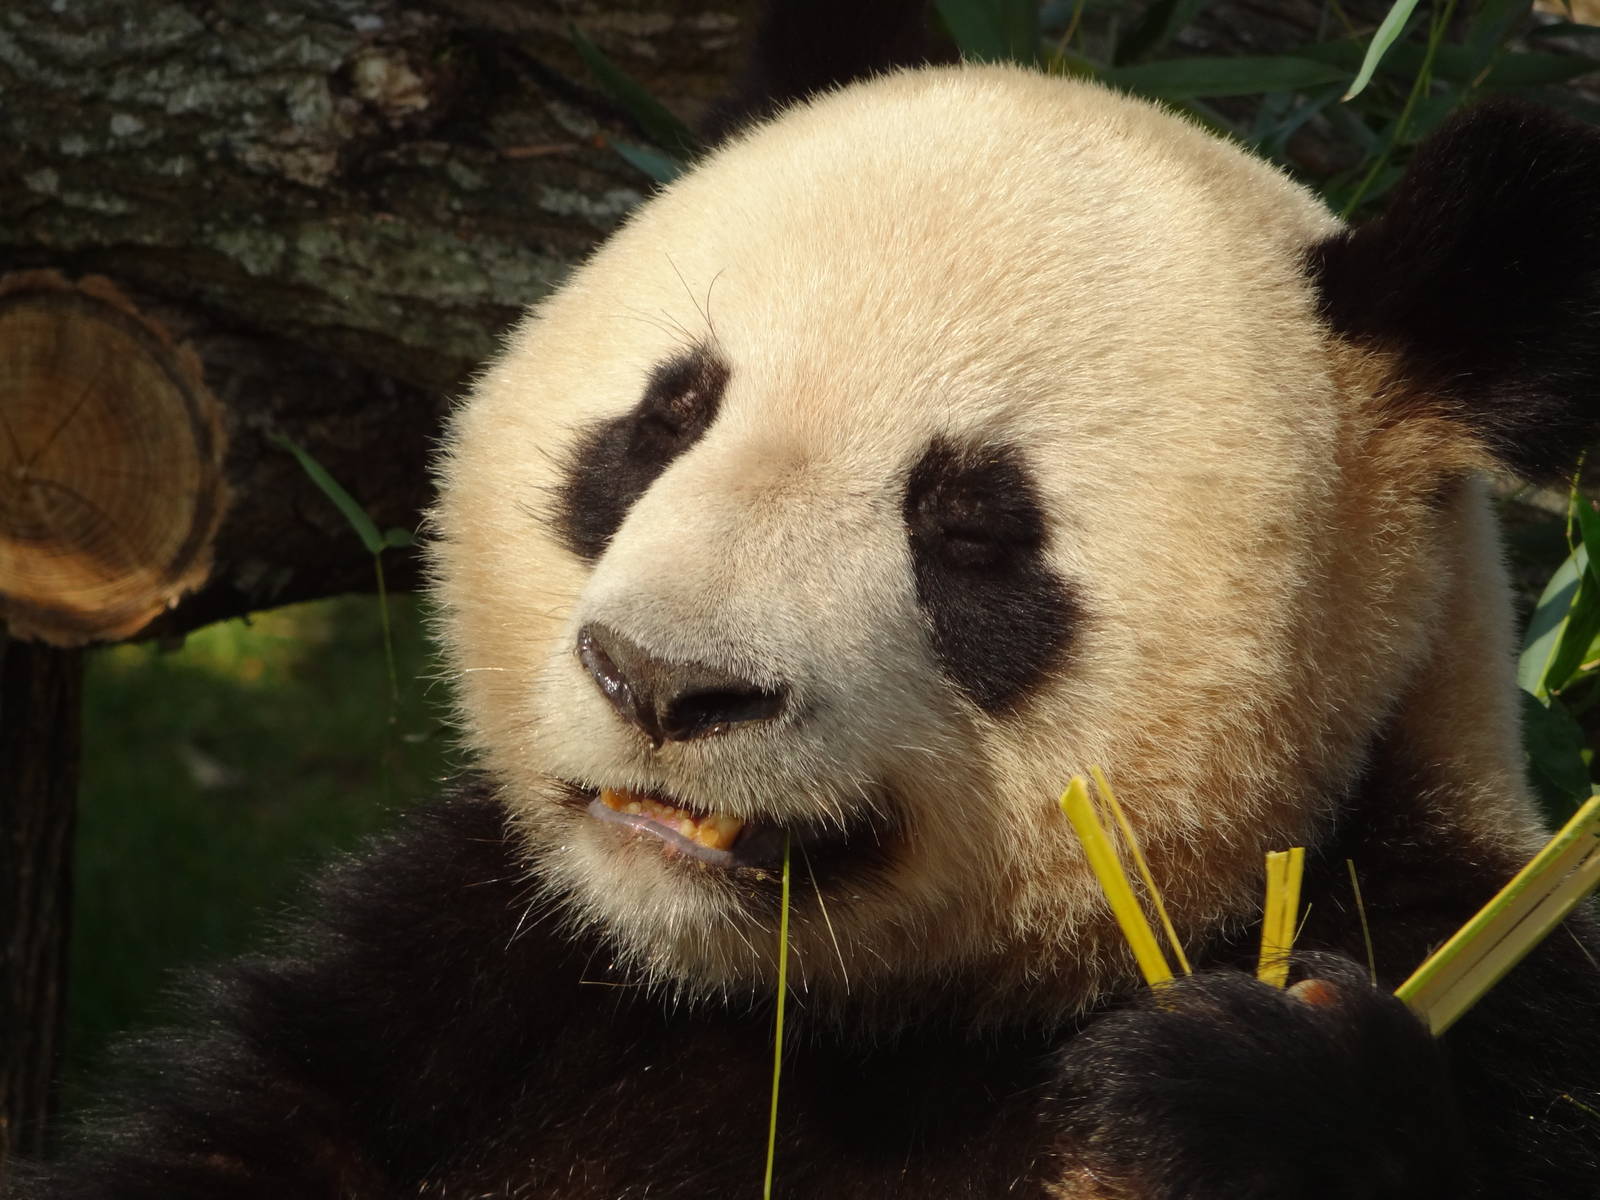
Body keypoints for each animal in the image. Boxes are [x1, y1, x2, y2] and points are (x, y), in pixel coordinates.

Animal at [15, 5, 1600, 1198]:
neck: (815, 1023)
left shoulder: (1486, 977)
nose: (660, 681)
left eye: (971, 527)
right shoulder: (459, 982)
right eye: (665, 419)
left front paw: (1248, 1085)